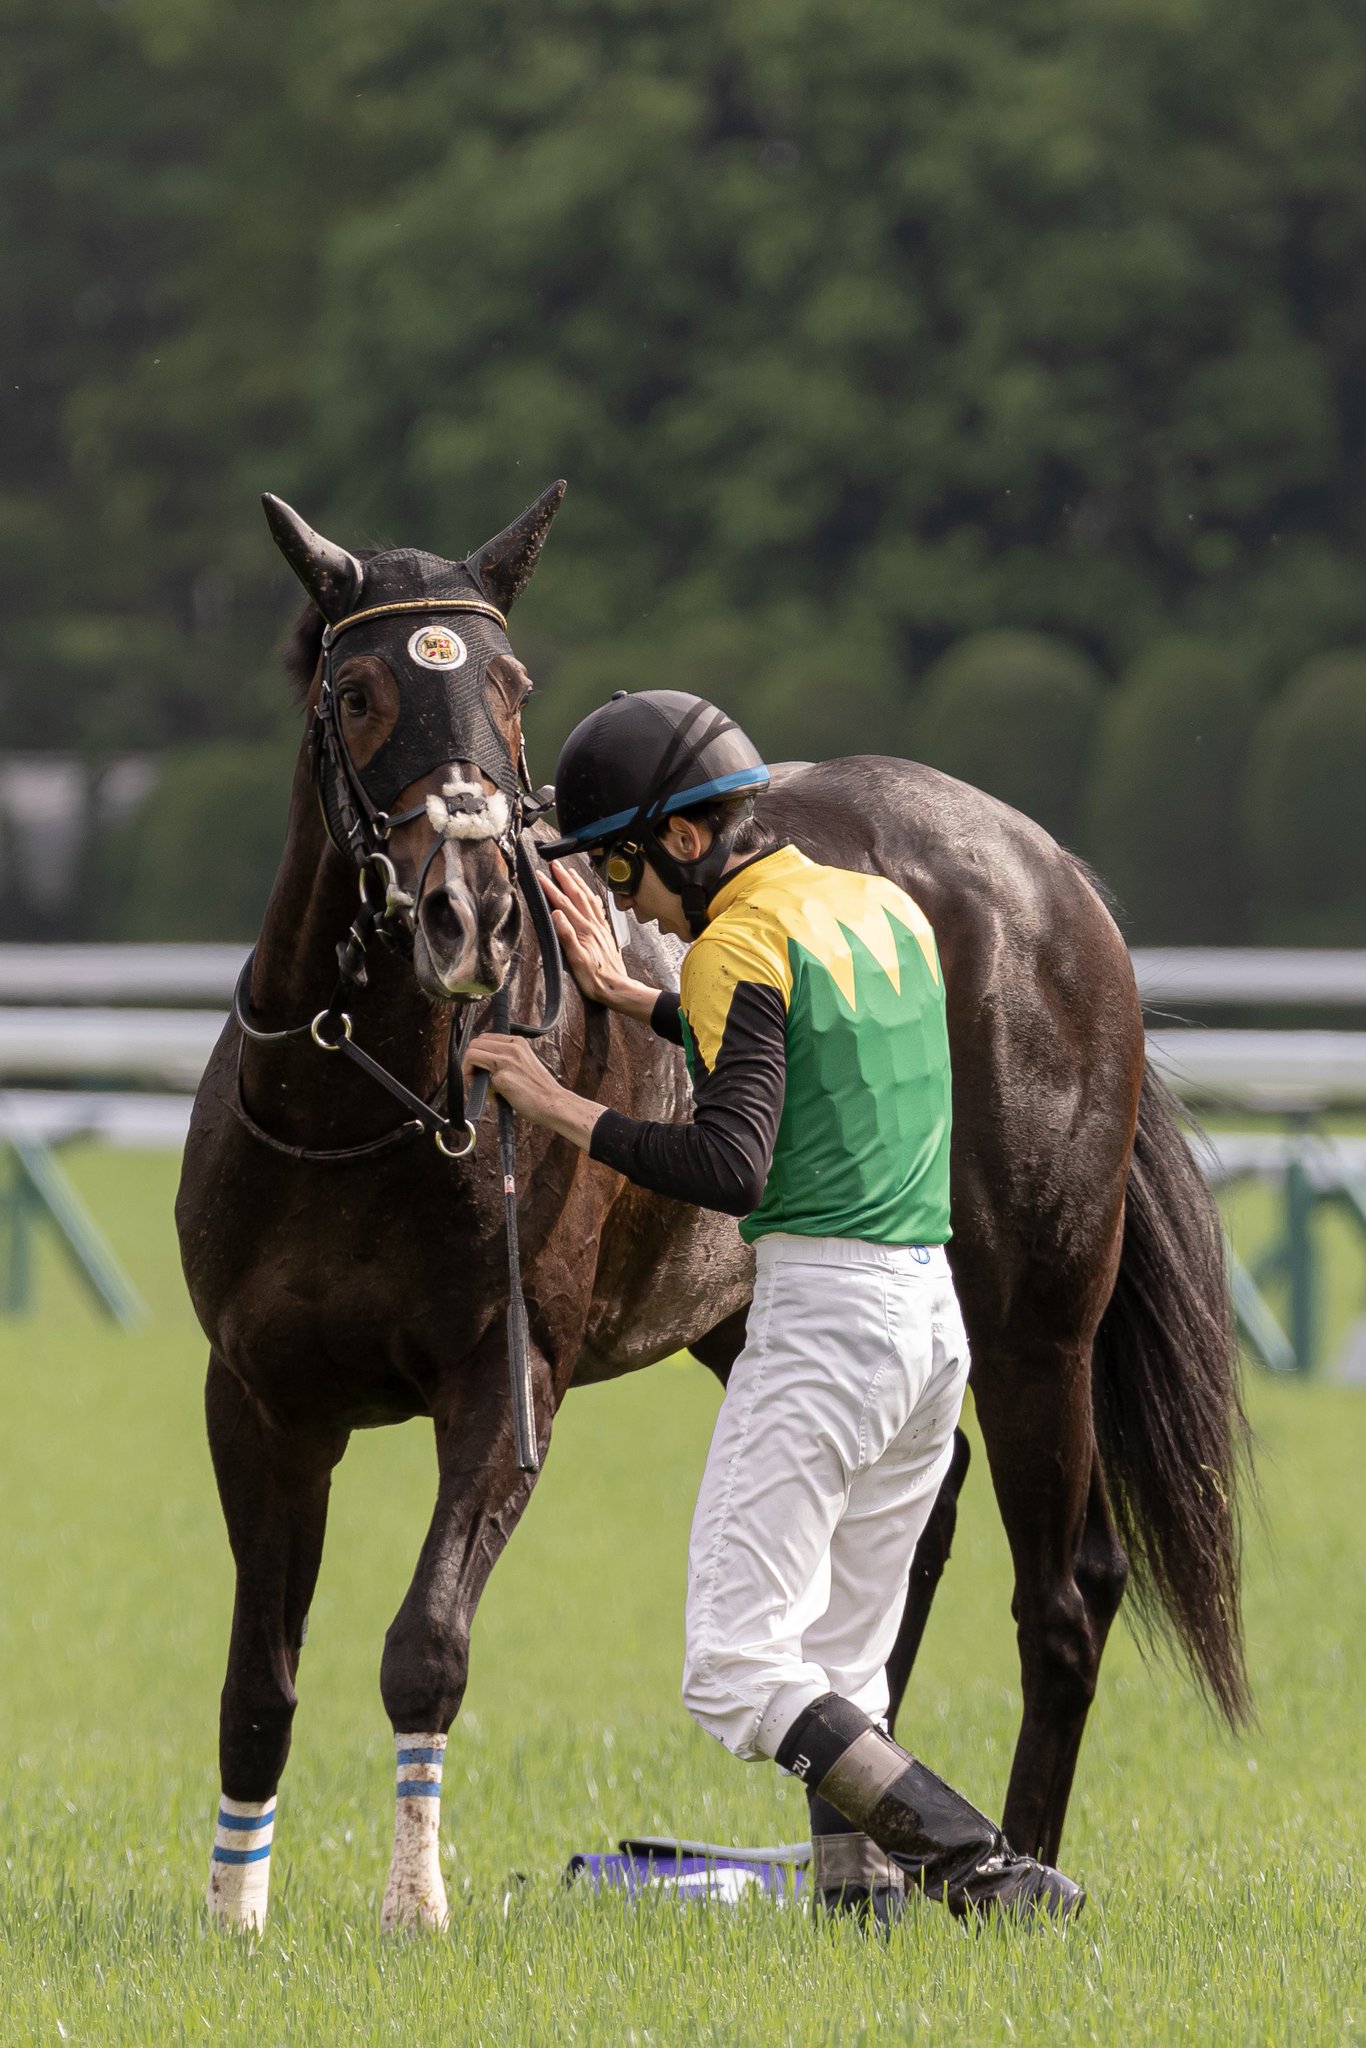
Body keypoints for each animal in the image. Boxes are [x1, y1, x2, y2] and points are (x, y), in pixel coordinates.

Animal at [179, 487, 1253, 1925]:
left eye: (512, 686)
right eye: (356, 690)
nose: (471, 913)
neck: (368, 1103)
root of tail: (1053, 875)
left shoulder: (503, 1381)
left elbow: (425, 1647)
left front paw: (414, 1905)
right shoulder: (258, 1399)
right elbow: (258, 1678)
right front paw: (234, 1914)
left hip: (1036, 1325)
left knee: (1065, 1592)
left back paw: (1015, 1859)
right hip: (759, 1316)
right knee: (894, 1562)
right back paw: (864, 1864)